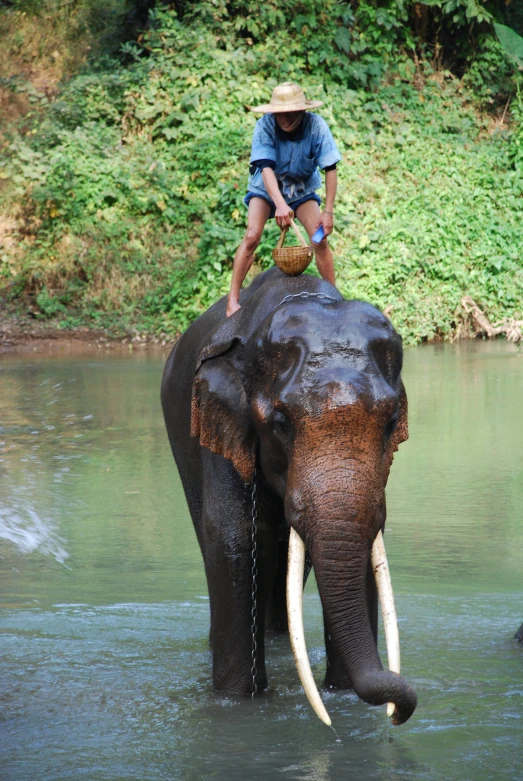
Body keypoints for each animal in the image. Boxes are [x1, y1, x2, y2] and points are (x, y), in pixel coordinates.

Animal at [162, 268, 420, 724]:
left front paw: (341, 695)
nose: (397, 712)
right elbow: (234, 538)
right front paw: (237, 701)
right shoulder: (227, 428)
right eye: (280, 423)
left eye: (392, 422)